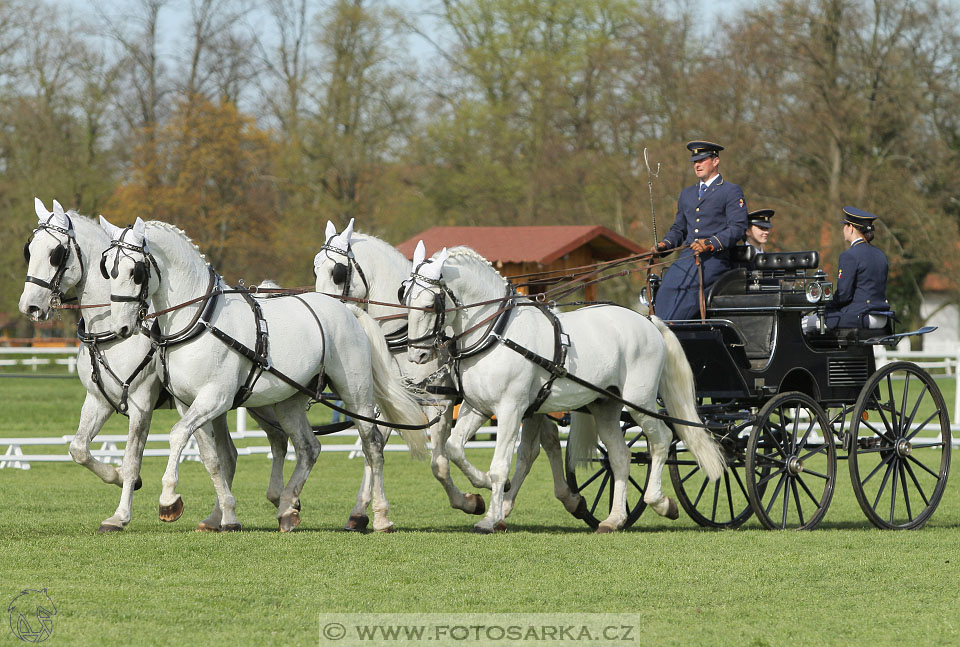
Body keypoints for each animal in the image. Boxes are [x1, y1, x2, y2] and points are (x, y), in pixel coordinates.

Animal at [15, 201, 292, 532]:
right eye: (30, 250)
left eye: (55, 253)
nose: (30, 306)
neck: (109, 331)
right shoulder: (98, 400)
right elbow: (79, 449)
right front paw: (117, 478)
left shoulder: (141, 403)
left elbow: (132, 459)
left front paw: (121, 515)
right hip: (219, 403)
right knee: (230, 455)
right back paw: (223, 516)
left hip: (263, 400)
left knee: (280, 439)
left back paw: (281, 502)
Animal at [99, 218, 426, 532]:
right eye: (108, 270)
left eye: (136, 271)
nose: (121, 327)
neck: (198, 319)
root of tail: (348, 310)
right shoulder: (187, 402)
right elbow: (211, 457)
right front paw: (226, 514)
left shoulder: (215, 398)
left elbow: (178, 434)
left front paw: (169, 500)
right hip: (289, 400)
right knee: (309, 448)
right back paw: (287, 509)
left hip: (356, 394)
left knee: (372, 446)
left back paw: (378, 517)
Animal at [402, 246, 724, 536]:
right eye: (404, 297)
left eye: (430, 305)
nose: (417, 355)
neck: (496, 332)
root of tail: (647, 321)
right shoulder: (477, 408)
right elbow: (454, 449)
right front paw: (482, 490)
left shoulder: (510, 409)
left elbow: (500, 465)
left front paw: (491, 518)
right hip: (605, 405)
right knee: (620, 456)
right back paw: (613, 519)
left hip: (639, 401)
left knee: (661, 441)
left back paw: (661, 502)